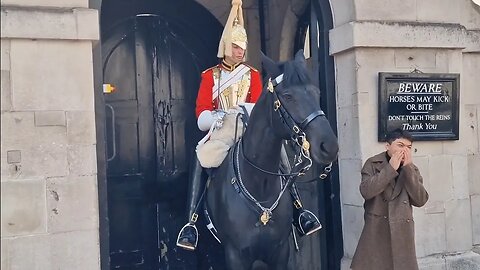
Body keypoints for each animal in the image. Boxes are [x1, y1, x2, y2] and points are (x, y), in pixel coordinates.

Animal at [204, 50, 340, 268]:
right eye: (288, 96)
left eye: (316, 92)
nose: (329, 146)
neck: (260, 185)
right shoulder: (235, 255)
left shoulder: (280, 251)